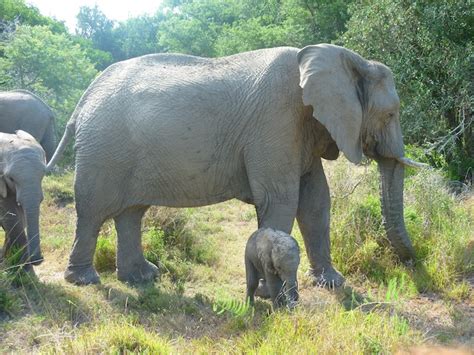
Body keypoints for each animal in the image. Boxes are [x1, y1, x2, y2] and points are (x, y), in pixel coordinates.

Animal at [48, 43, 424, 286]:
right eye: (391, 114)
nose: (413, 262)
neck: (346, 58)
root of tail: (84, 98)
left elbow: (316, 200)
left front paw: (332, 284)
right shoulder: (276, 121)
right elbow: (281, 200)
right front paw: (276, 294)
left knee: (131, 213)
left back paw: (142, 277)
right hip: (103, 149)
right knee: (93, 211)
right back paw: (85, 281)